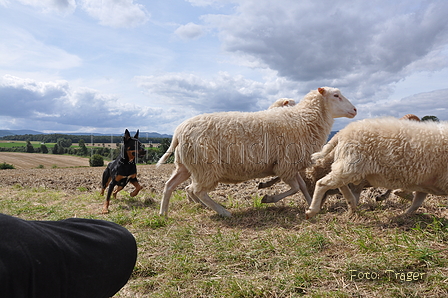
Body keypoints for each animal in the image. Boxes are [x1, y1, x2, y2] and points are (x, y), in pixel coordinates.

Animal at [158, 86, 356, 217]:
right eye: (336, 95)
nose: (355, 109)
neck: (303, 119)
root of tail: (179, 131)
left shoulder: (291, 165)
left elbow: (301, 186)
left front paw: (310, 205)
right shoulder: (285, 165)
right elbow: (295, 187)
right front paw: (268, 198)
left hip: (186, 166)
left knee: (170, 185)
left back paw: (163, 213)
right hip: (205, 167)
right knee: (196, 191)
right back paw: (223, 212)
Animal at [304, 117, 448, 219]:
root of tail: (342, 132)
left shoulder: (425, 182)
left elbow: (416, 202)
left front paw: (404, 215)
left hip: (347, 166)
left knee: (339, 183)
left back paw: (351, 205)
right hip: (351, 165)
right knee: (323, 183)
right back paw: (312, 211)